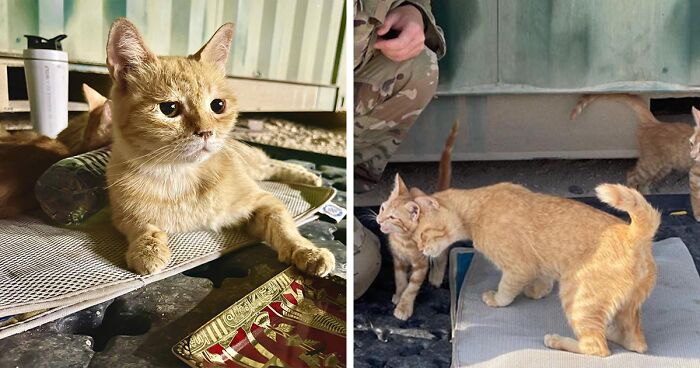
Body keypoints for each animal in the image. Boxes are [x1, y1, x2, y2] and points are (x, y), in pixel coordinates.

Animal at [104, 18, 334, 276]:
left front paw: (308, 251)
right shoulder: (121, 215)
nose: (206, 132)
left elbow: (285, 228)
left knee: (271, 163)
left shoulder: (264, 202)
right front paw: (148, 248)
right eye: (169, 108)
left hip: (255, 165)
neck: (181, 176)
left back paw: (308, 176)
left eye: (218, 105)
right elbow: (142, 225)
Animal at [378, 121, 460, 320]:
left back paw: (436, 276)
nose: (378, 220)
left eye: (392, 217)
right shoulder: (398, 259)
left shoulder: (421, 265)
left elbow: (412, 287)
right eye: (382, 208)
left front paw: (404, 307)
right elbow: (400, 280)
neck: (403, 241)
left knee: (443, 254)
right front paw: (399, 294)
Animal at [410, 181, 656, 356]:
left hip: (578, 298)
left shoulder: (518, 267)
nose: (421, 250)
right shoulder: (541, 263)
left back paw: (557, 340)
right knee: (634, 342)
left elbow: (506, 290)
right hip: (627, 309)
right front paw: (537, 291)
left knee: (597, 347)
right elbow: (543, 278)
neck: (478, 207)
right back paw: (612, 331)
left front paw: (497, 299)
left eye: (422, 235)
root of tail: (633, 233)